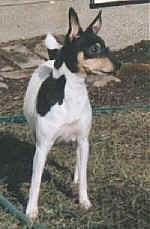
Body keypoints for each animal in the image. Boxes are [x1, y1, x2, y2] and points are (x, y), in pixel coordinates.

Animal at [23, 7, 120, 218]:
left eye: (107, 47)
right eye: (94, 49)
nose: (120, 65)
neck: (72, 91)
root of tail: (51, 57)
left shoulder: (83, 140)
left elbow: (84, 176)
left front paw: (84, 201)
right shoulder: (43, 146)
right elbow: (36, 182)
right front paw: (31, 211)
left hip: (81, 141)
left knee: (79, 160)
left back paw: (75, 175)